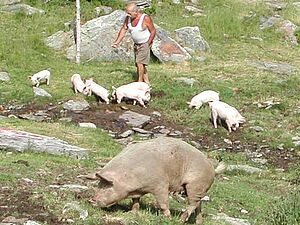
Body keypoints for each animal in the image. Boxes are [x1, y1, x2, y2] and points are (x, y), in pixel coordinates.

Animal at [89, 137, 225, 223]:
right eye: (98, 185)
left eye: (106, 187)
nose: (91, 200)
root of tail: (213, 169)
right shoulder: (137, 191)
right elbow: (135, 201)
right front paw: (132, 212)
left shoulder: (161, 184)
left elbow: (163, 202)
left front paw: (167, 218)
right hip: (195, 188)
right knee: (198, 205)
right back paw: (198, 222)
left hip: (196, 184)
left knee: (193, 203)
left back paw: (180, 220)